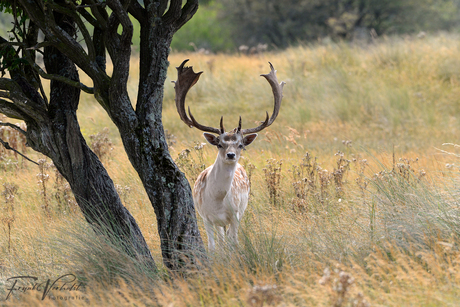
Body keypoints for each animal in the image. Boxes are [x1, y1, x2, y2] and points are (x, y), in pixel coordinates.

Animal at [174, 60, 286, 253]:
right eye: (219, 144)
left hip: (241, 210)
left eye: (241, 145)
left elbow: (234, 243)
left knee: (228, 239)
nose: (231, 154)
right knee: (220, 240)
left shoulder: (235, 216)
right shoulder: (205, 217)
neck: (217, 201)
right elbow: (212, 247)